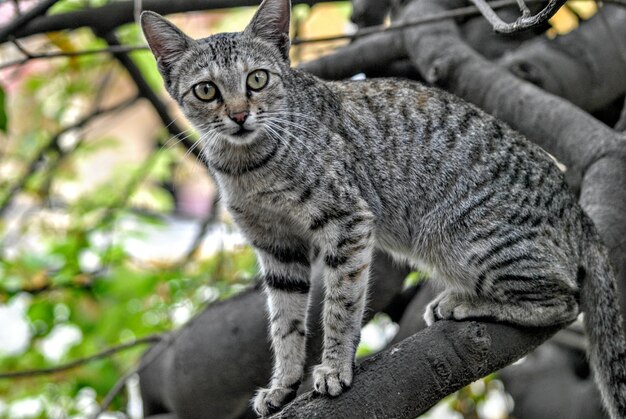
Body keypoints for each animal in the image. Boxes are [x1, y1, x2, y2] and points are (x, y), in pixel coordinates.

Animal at [141, 1, 624, 418]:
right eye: (206, 90)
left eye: (257, 80)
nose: (240, 115)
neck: (247, 166)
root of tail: (579, 214)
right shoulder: (276, 247)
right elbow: (285, 323)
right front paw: (284, 384)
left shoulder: (347, 221)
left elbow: (340, 304)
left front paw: (335, 368)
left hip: (461, 239)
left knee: (564, 301)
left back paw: (461, 304)